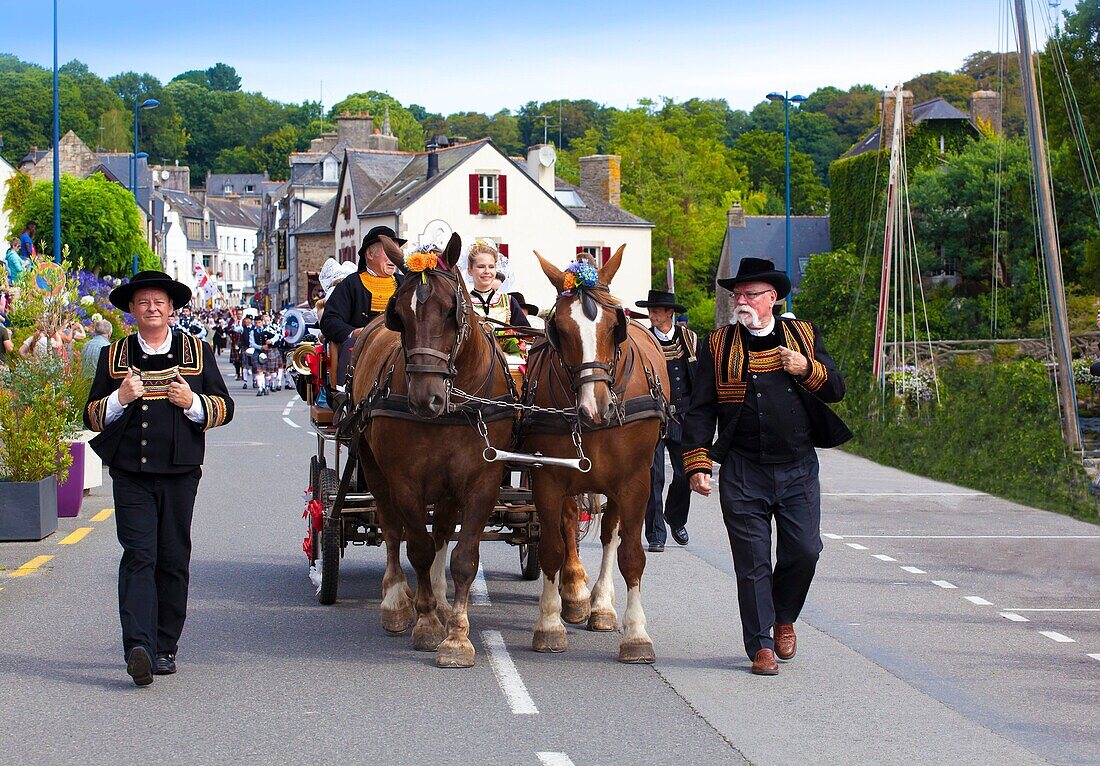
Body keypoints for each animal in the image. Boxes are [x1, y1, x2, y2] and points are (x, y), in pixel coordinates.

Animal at [352, 232, 514, 664]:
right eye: (400, 316)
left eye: (449, 311)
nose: (426, 399)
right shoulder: (404, 482)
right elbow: (418, 548)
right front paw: (425, 624)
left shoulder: (481, 481)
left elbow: (463, 558)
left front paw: (456, 636)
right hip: (372, 467)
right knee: (392, 529)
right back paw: (396, 601)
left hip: (446, 487)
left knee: (442, 528)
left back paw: (441, 600)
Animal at [521, 246, 668, 664]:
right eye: (560, 329)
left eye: (614, 325)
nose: (594, 408)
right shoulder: (547, 476)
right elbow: (552, 547)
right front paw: (550, 624)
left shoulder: (635, 482)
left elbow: (630, 553)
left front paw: (635, 634)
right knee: (570, 525)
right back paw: (574, 593)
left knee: (609, 534)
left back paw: (600, 604)